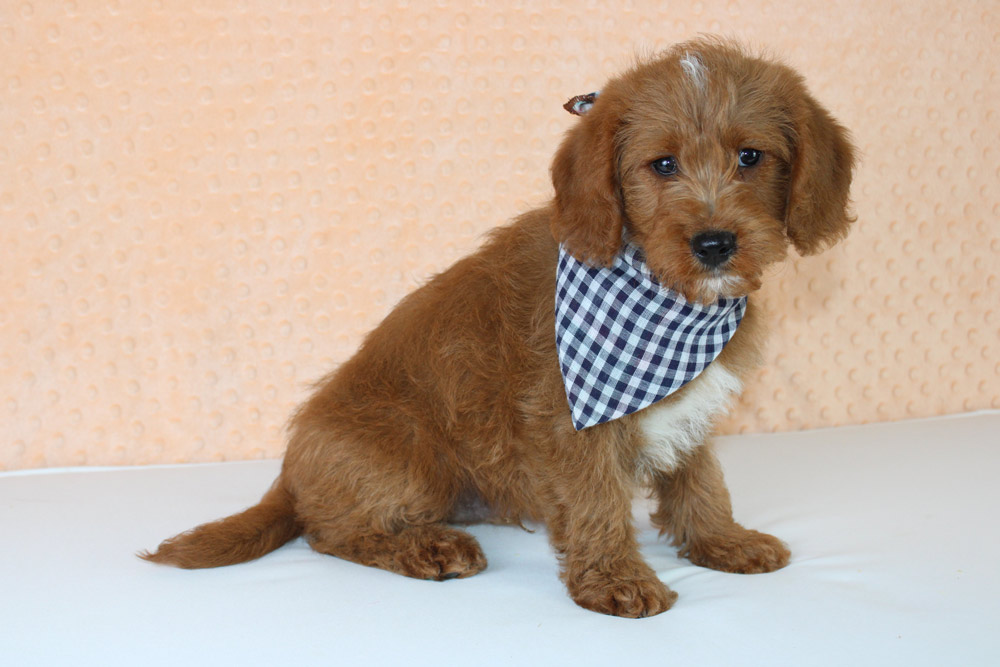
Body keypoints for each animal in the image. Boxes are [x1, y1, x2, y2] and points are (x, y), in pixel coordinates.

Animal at [142, 38, 856, 618]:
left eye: (750, 157)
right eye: (662, 165)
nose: (714, 243)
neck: (669, 299)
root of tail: (290, 475)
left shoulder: (689, 408)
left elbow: (700, 481)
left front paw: (721, 541)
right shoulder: (569, 420)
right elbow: (598, 501)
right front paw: (616, 580)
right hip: (410, 454)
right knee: (330, 532)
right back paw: (428, 547)